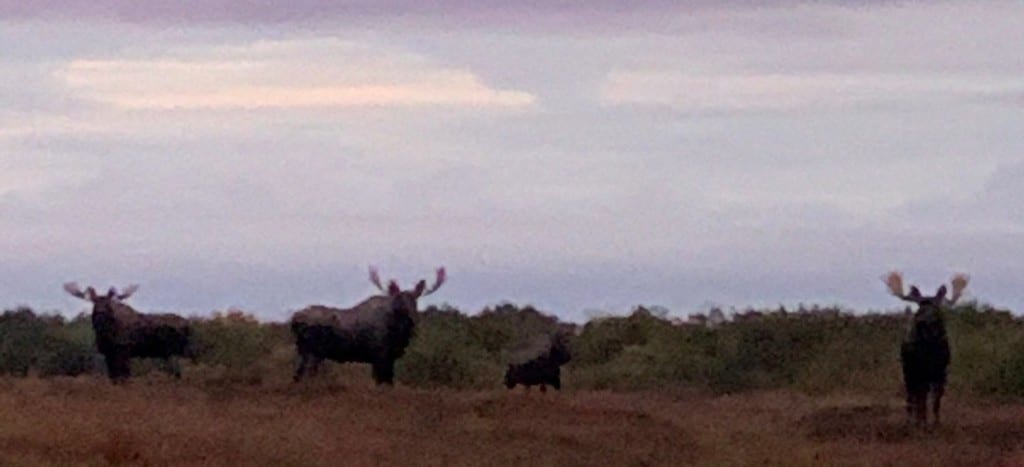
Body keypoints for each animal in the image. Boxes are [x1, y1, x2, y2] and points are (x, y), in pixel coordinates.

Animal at [63, 283, 194, 383]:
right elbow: (113, 377)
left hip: (178, 353)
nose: (100, 314)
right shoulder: (109, 353)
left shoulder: (123, 350)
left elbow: (124, 376)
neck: (106, 333)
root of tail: (188, 325)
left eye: (107, 304)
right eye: (94, 303)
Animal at [291, 266, 446, 385]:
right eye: (399, 301)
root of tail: (294, 319)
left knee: (297, 375)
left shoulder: (389, 357)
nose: (413, 318)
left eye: (415, 301)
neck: (398, 333)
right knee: (306, 375)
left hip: (305, 351)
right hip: (313, 352)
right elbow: (382, 382)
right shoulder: (380, 353)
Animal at [883, 271, 969, 427]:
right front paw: (920, 422)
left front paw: (936, 422)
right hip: (909, 371)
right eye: (920, 307)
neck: (930, 349)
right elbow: (920, 399)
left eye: (936, 308)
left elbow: (936, 400)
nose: (925, 321)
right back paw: (911, 421)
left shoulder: (940, 372)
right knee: (911, 396)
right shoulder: (919, 371)